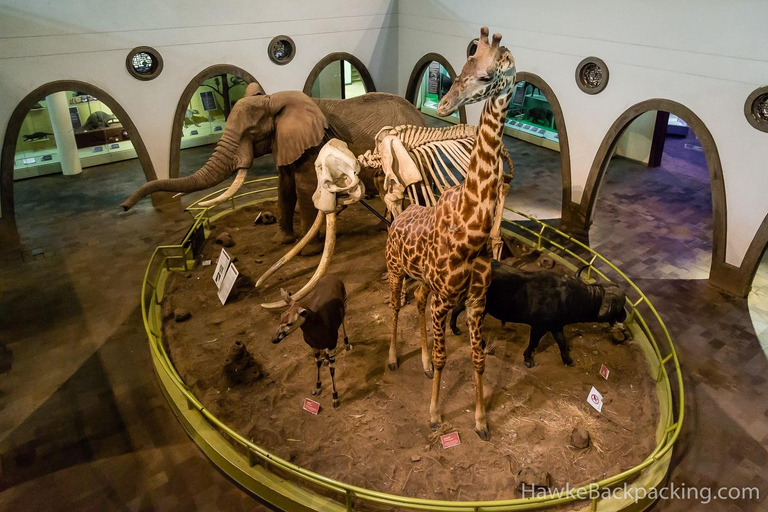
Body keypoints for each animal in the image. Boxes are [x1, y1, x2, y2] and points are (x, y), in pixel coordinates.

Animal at [123, 87, 428, 256]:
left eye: (250, 132)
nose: (124, 207)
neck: (273, 100)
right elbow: (285, 186)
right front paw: (281, 240)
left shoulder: (313, 146)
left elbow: (305, 188)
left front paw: (307, 251)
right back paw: (384, 227)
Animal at [384, 26, 516, 440]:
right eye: (463, 65)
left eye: (487, 76)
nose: (442, 106)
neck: (470, 230)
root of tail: (400, 215)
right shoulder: (446, 300)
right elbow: (446, 358)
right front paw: (434, 415)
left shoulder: (474, 303)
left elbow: (477, 358)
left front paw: (481, 420)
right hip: (395, 270)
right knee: (395, 305)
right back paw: (393, 358)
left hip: (425, 283)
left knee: (417, 301)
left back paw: (422, 363)